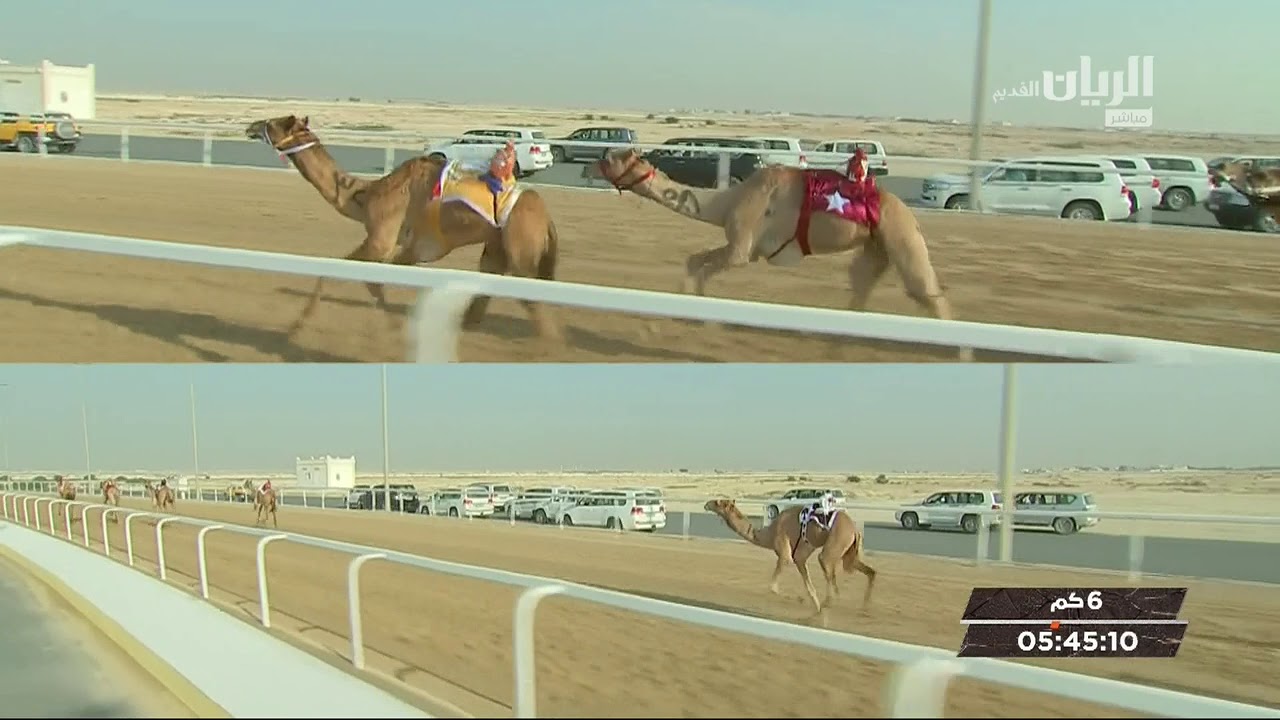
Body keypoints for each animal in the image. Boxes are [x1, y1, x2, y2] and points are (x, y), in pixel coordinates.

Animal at [244, 115, 562, 343]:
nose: (251, 126)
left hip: (522, 248)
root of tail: (546, 217)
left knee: (532, 301)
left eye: (274, 123)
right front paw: (398, 329)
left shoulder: (382, 240)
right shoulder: (404, 248)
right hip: (497, 246)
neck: (366, 195)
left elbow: (340, 273)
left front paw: (297, 327)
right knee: (489, 288)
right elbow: (373, 282)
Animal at [590, 149, 970, 361]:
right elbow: (694, 262)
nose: (600, 157)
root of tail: (907, 211)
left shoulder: (741, 248)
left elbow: (702, 265)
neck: (727, 202)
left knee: (929, 294)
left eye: (618, 158)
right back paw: (834, 351)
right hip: (876, 247)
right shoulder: (747, 251)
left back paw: (962, 354)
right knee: (860, 289)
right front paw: (701, 319)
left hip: (902, 237)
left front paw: (670, 326)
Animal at [703, 498, 876, 624]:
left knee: (832, 583)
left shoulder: (785, 554)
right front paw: (814, 608)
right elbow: (810, 589)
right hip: (849, 554)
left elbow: (773, 587)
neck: (769, 533)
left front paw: (799, 601)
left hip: (835, 545)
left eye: (718, 502)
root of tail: (855, 529)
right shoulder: (799, 558)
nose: (706, 504)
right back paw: (863, 610)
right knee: (870, 572)